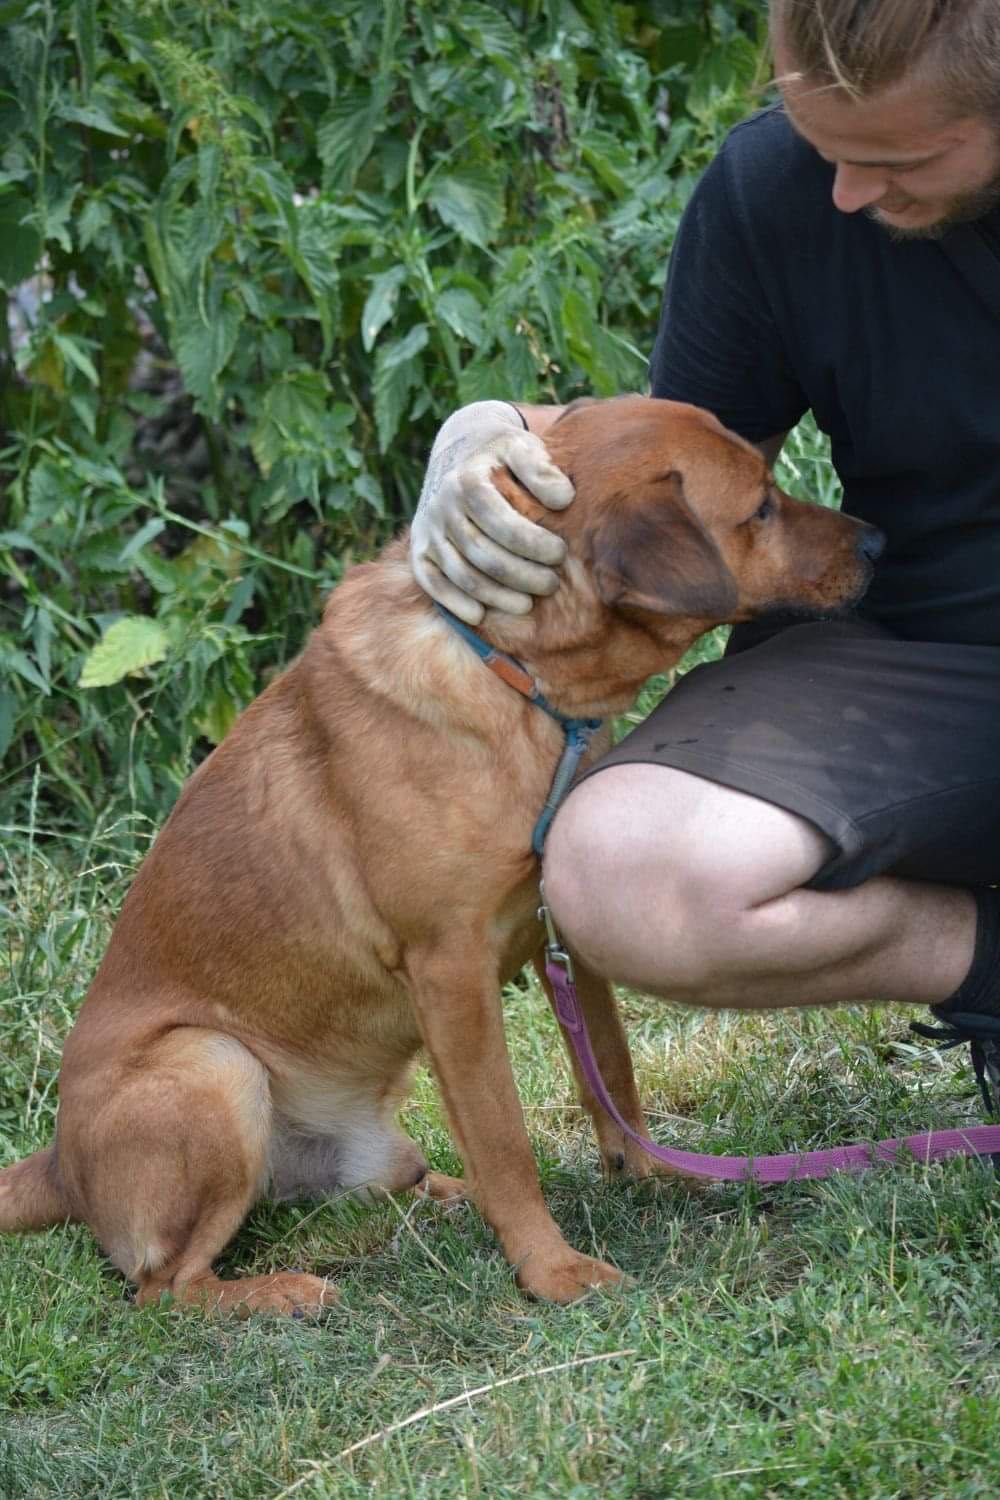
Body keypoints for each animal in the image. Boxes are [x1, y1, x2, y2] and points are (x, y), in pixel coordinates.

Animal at [0, 399, 881, 1314]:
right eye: (762, 507)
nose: (879, 541)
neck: (515, 676)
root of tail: (61, 1166)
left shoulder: (562, 933)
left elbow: (611, 1068)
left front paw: (646, 1171)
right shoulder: (451, 972)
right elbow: (504, 1138)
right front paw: (550, 1269)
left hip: (354, 1141)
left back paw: (446, 1198)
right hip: (214, 1064)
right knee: (162, 1285)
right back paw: (278, 1293)